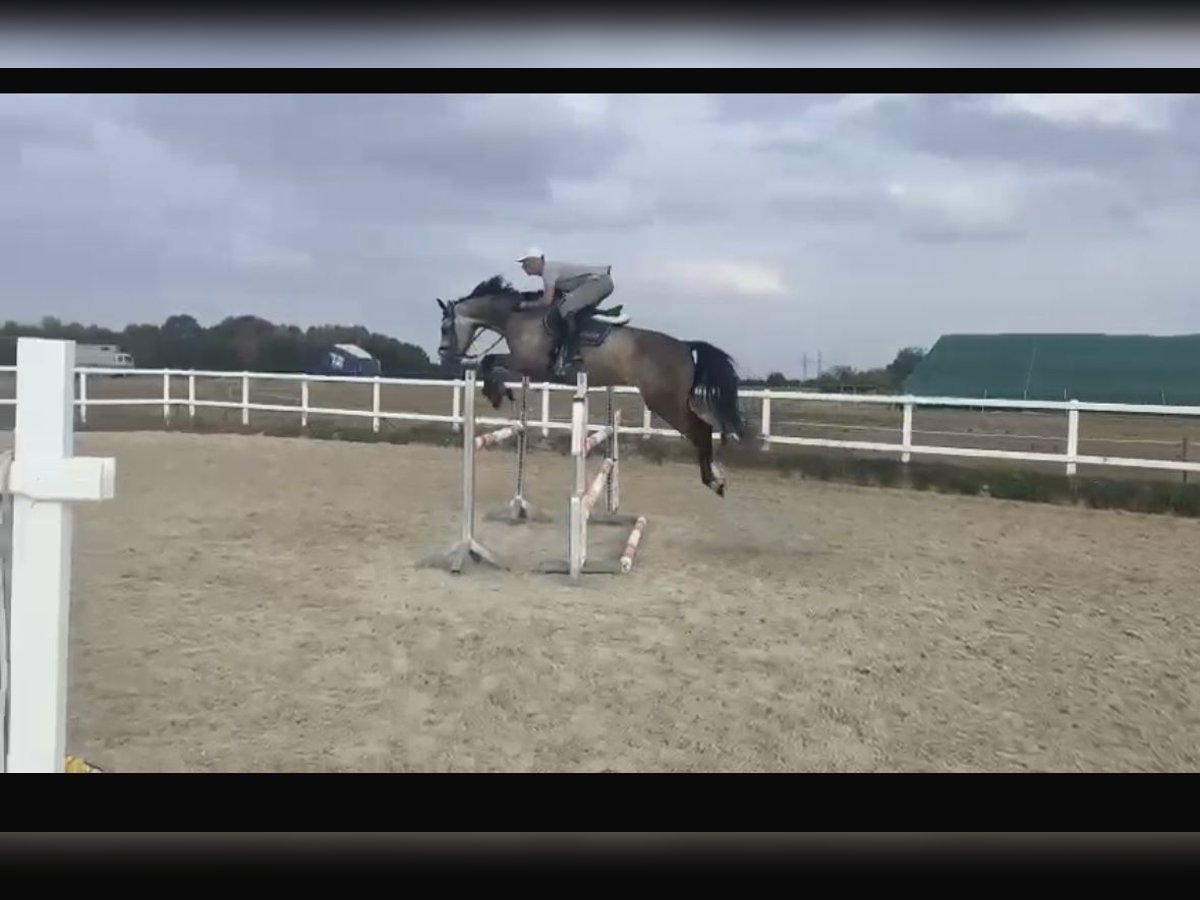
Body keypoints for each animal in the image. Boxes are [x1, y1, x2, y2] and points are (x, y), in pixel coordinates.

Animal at [436, 277, 744, 496]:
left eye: (444, 327)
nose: (444, 355)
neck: (517, 317)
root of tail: (684, 346)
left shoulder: (529, 365)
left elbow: (489, 361)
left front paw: (496, 393)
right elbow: (490, 362)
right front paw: (500, 391)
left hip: (664, 401)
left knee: (701, 430)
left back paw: (714, 481)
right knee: (702, 431)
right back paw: (717, 478)